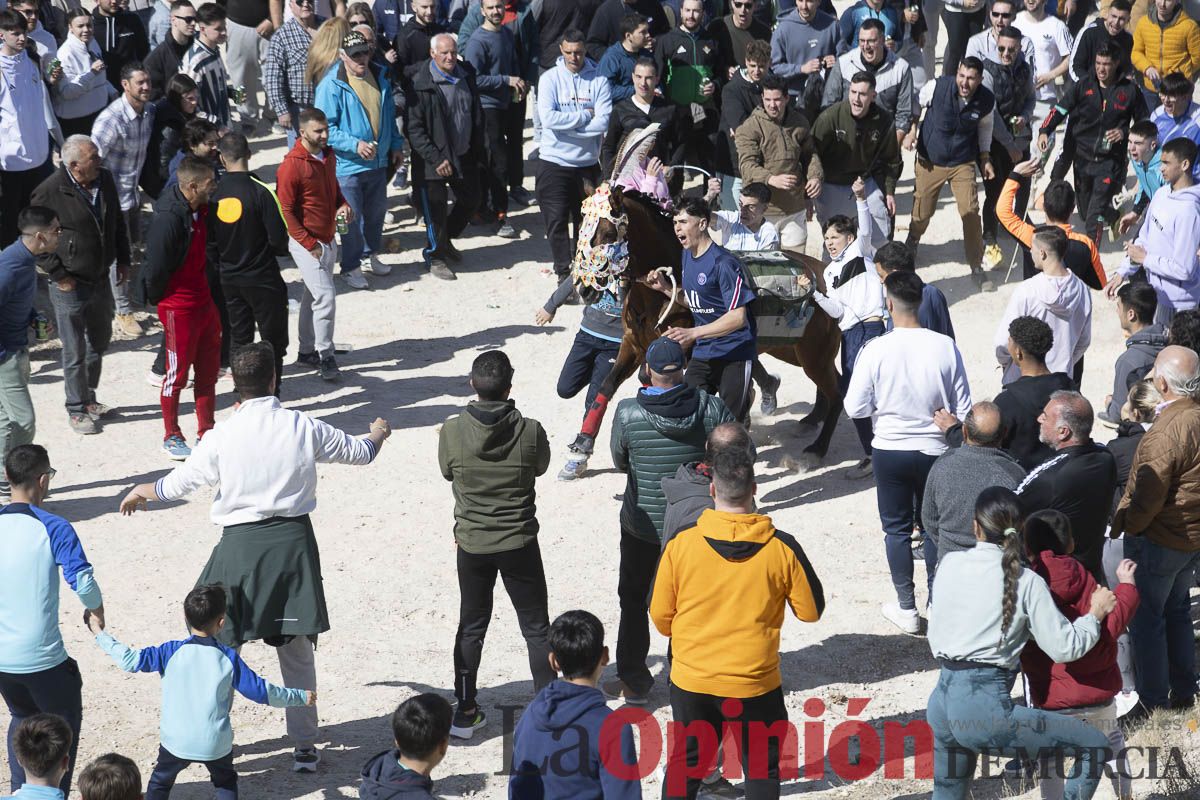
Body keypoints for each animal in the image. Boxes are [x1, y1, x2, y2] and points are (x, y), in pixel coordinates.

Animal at [568, 181, 844, 470]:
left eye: (609, 233)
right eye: (581, 228)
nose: (584, 289)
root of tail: (825, 277)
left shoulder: (681, 349)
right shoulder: (632, 344)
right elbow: (606, 386)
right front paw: (582, 445)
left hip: (813, 354)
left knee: (838, 392)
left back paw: (817, 448)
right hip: (795, 352)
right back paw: (810, 420)